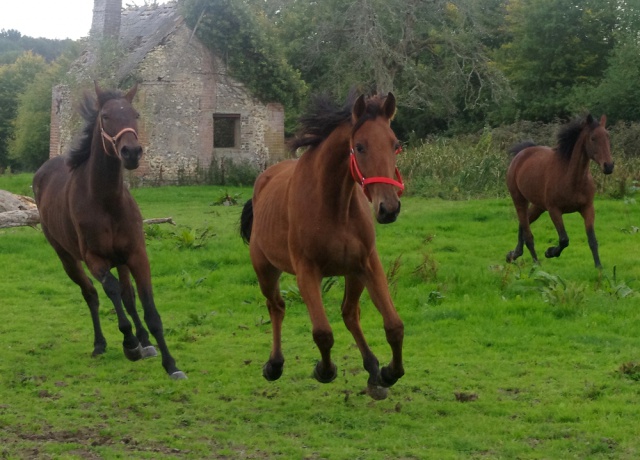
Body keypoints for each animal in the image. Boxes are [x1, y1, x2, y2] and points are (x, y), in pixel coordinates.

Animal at [32, 82, 186, 380]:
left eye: (136, 114)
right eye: (105, 116)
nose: (131, 153)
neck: (106, 202)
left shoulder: (136, 255)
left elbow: (148, 308)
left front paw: (171, 364)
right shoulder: (95, 259)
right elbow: (110, 291)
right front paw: (130, 345)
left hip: (121, 260)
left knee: (128, 296)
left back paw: (146, 343)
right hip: (67, 259)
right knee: (92, 294)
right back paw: (101, 344)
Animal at [240, 90, 404, 398]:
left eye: (395, 144)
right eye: (360, 147)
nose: (389, 209)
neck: (334, 206)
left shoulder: (368, 264)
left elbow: (394, 326)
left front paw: (389, 373)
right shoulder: (307, 271)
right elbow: (322, 332)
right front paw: (324, 370)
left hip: (353, 274)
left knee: (350, 313)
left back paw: (372, 369)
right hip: (265, 269)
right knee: (276, 306)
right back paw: (274, 365)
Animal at [504, 113, 616, 268]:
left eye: (607, 136)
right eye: (593, 138)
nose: (609, 166)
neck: (572, 179)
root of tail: (521, 154)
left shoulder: (587, 208)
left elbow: (592, 239)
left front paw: (599, 267)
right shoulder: (554, 210)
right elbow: (564, 239)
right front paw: (550, 252)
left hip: (538, 206)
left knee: (523, 223)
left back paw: (513, 255)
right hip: (519, 200)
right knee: (528, 233)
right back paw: (536, 264)